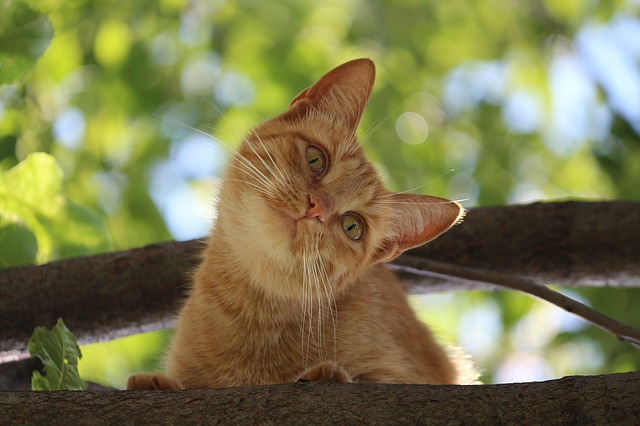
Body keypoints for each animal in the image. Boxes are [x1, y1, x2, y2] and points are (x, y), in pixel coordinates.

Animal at [130, 58, 468, 392]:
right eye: (316, 159)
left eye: (352, 227)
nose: (316, 208)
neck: (249, 310)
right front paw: (157, 382)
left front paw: (326, 373)